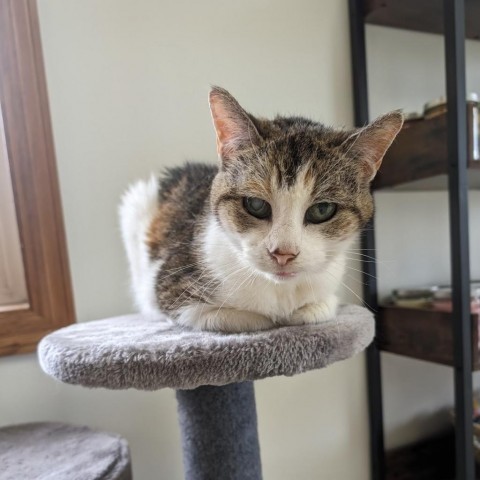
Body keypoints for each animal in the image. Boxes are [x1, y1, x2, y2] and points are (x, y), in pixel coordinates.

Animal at [118, 86, 404, 332]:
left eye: (322, 210)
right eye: (255, 205)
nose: (283, 254)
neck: (281, 291)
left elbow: (319, 308)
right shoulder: (174, 289)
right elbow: (244, 318)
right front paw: (269, 318)